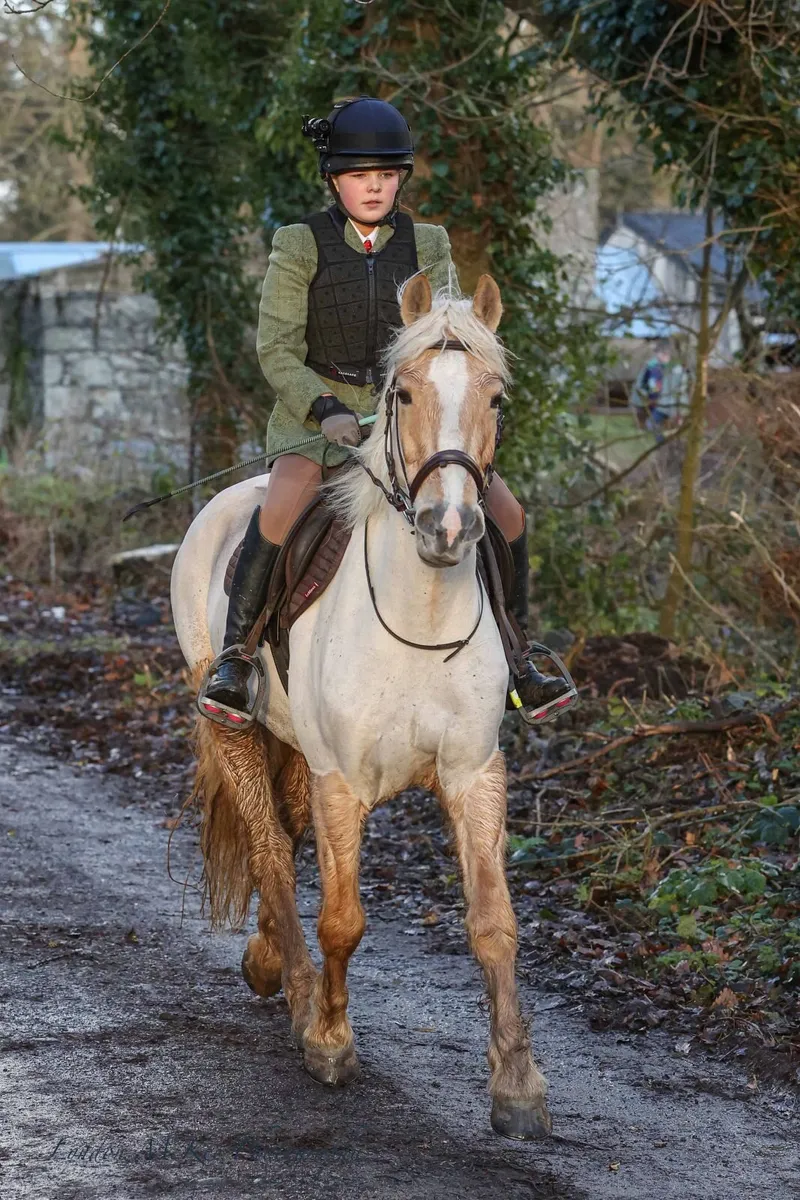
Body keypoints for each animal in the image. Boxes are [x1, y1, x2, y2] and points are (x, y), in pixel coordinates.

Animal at [170, 271, 551, 1141]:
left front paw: (517, 1085)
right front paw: (330, 1041)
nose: (451, 527)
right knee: (272, 852)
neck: (423, 607)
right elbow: (342, 919)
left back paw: (268, 963)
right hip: (236, 728)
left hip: (295, 753)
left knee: (284, 832)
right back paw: (298, 991)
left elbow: (494, 923)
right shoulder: (341, 779)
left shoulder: (473, 775)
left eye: (498, 398)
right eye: (402, 392)